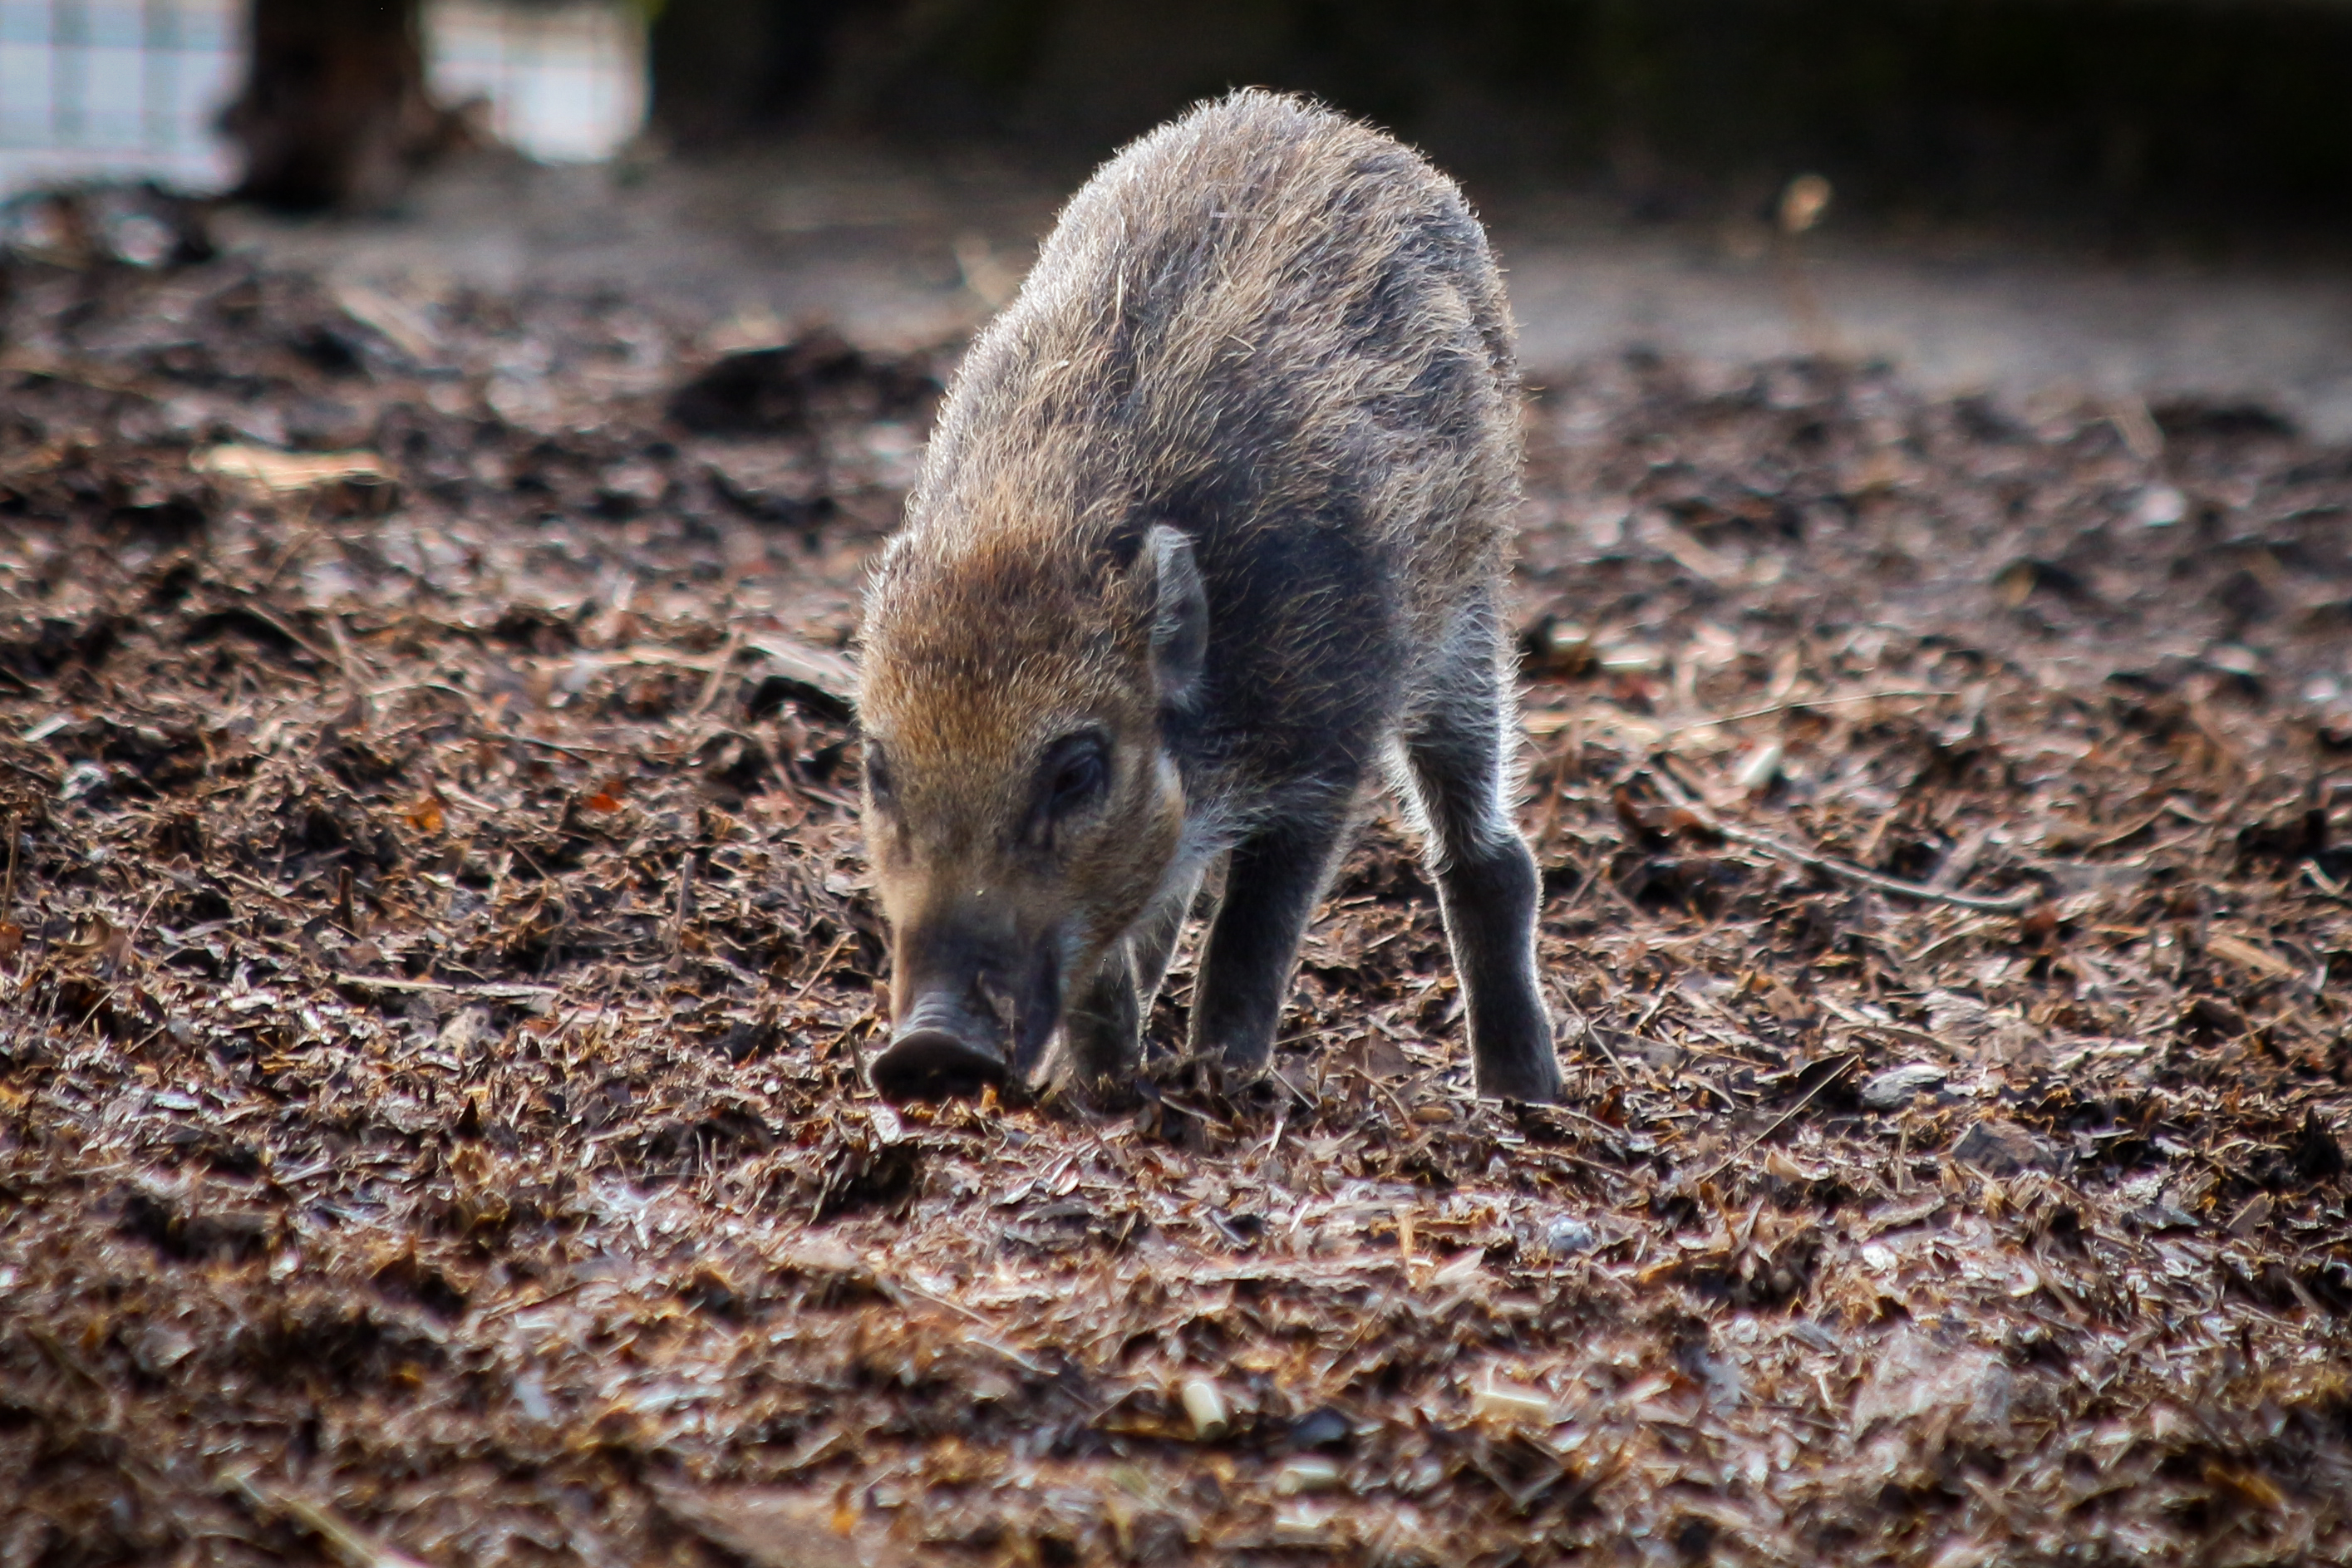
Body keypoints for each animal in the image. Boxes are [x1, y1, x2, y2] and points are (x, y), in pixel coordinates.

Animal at [855, 88, 1562, 1105]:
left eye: (1077, 771)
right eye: (879, 771)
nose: (926, 1050)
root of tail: (1332, 122)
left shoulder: (1326, 745)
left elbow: (1251, 936)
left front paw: (1220, 1079)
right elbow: (1119, 951)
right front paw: (1102, 1089)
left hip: (1464, 616)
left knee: (1485, 854)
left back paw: (1523, 1093)